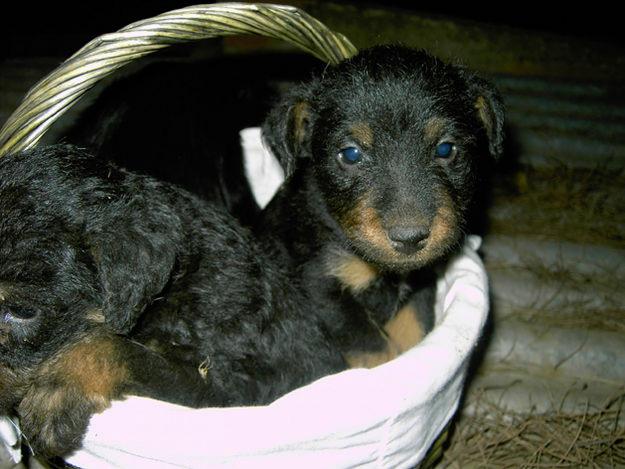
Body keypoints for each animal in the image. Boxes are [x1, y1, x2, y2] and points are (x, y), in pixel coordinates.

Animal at [260, 44, 504, 366]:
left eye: (445, 148)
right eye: (350, 154)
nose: (410, 239)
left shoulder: (419, 284)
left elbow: (414, 333)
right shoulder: (321, 283)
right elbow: (377, 350)